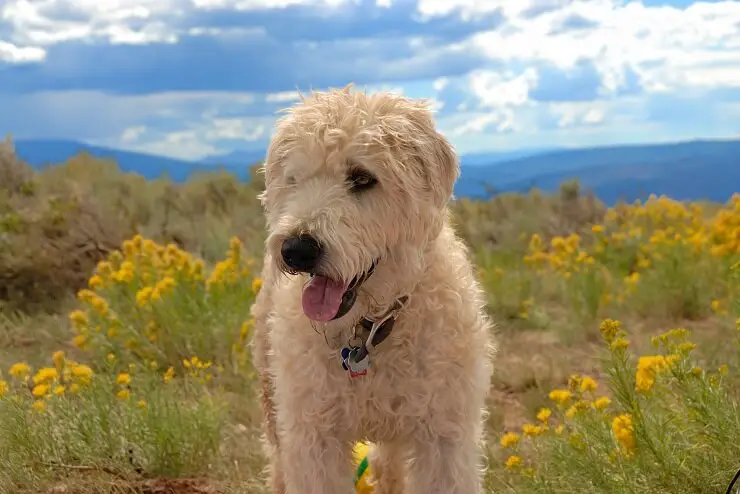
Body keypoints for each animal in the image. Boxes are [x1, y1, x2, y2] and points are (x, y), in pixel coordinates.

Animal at [250, 86, 498, 494]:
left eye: (363, 178)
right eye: (294, 179)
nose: (296, 249)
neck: (368, 332)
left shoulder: (444, 436)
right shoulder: (313, 436)